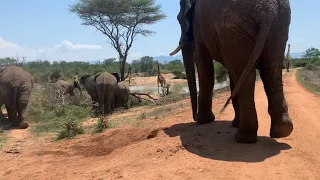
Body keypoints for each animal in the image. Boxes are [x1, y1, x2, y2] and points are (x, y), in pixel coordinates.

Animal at [170, 0, 292, 143]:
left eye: (179, 20)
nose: (194, 118)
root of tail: (267, 9)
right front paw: (233, 123)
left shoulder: (198, 26)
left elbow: (204, 66)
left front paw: (203, 121)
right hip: (278, 25)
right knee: (270, 68)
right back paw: (282, 130)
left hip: (234, 28)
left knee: (245, 74)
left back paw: (243, 137)